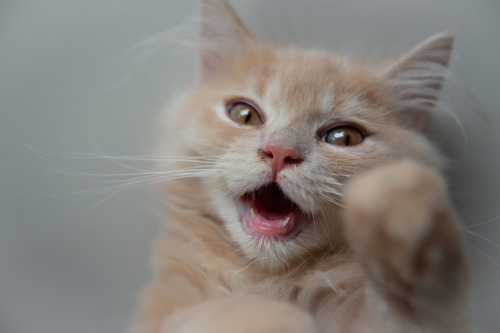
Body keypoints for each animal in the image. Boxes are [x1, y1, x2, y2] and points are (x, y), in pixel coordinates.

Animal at [130, 0, 472, 332]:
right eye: (244, 115)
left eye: (344, 137)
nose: (279, 152)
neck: (273, 282)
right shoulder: (159, 313)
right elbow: (205, 314)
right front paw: (268, 315)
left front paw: (402, 214)